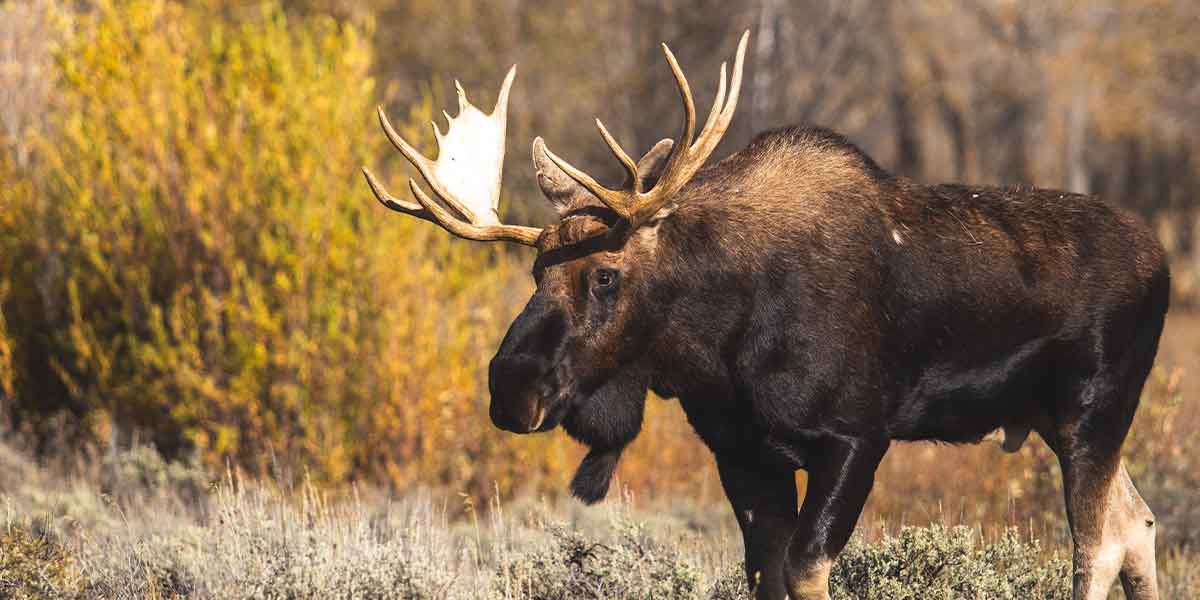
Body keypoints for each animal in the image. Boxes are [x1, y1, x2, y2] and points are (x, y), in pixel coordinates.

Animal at [364, 31, 1171, 600]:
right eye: (536, 271)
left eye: (605, 275)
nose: (511, 387)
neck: (715, 345)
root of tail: (1163, 262)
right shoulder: (742, 451)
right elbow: (767, 572)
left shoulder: (855, 437)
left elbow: (809, 569)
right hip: (1051, 417)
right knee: (1137, 522)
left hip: (1094, 408)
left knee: (1095, 545)